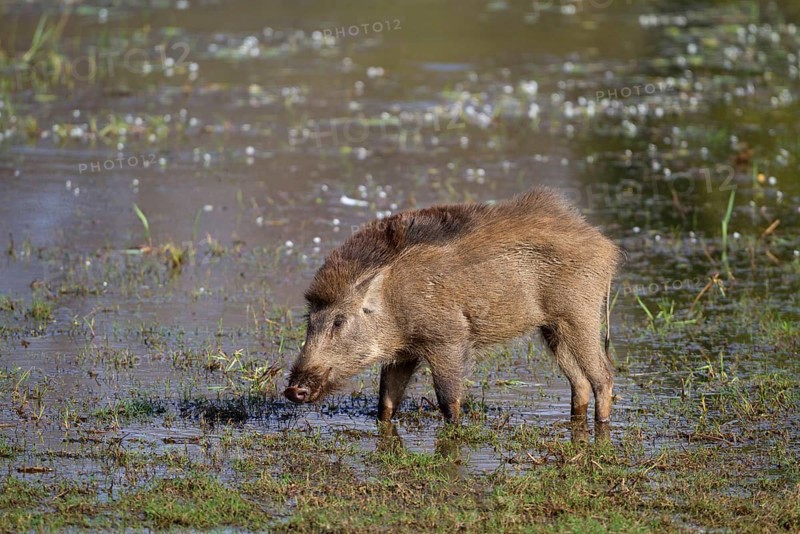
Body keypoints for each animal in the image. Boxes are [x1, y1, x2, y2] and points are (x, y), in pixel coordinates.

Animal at [285, 187, 621, 424]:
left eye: (339, 320)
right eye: (310, 319)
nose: (292, 389)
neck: (391, 299)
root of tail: (605, 246)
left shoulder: (448, 338)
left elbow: (448, 401)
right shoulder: (404, 352)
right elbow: (386, 401)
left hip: (580, 315)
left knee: (603, 376)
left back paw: (603, 423)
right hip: (552, 328)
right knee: (580, 383)